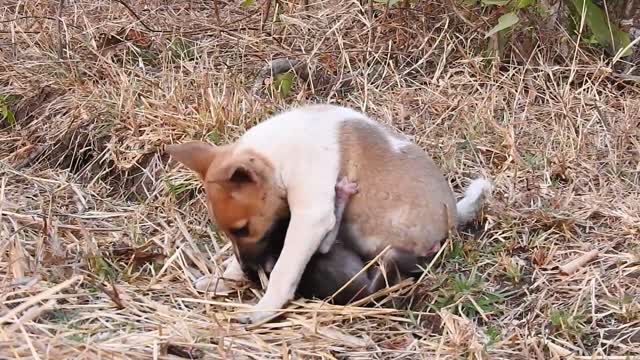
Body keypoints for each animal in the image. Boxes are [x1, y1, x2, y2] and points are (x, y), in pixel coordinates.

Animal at [166, 103, 490, 324]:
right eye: (231, 232)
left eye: (243, 229)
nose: (249, 273)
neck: (278, 157)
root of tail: (454, 213)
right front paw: (224, 278)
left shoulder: (312, 219)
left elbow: (284, 268)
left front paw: (264, 308)